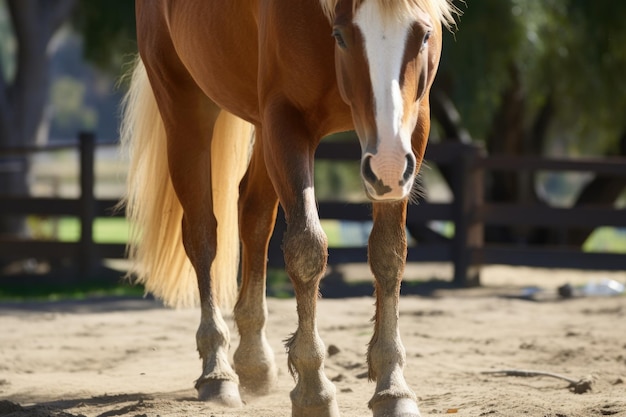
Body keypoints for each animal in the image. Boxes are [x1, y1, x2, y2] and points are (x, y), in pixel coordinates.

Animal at [120, 1, 454, 414]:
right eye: (340, 35)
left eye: (424, 35)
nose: (388, 168)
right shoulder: (287, 122)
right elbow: (307, 249)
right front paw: (313, 388)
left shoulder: (414, 128)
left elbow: (389, 254)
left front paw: (393, 388)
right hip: (186, 109)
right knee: (202, 235)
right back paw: (217, 372)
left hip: (262, 130)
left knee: (254, 218)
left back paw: (254, 361)